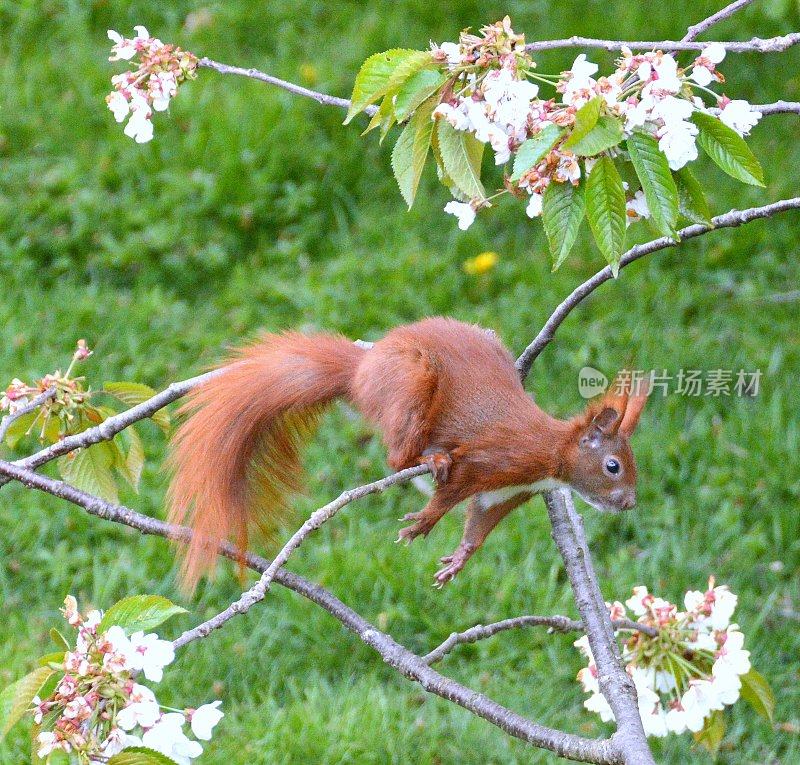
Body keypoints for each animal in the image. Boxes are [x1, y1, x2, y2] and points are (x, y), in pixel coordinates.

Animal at [167, 314, 644, 584]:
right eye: (613, 466)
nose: (630, 504)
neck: (550, 456)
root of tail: (362, 372)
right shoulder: (491, 459)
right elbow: (452, 492)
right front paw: (425, 521)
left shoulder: (503, 494)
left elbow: (479, 521)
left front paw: (460, 559)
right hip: (410, 387)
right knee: (397, 456)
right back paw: (427, 458)